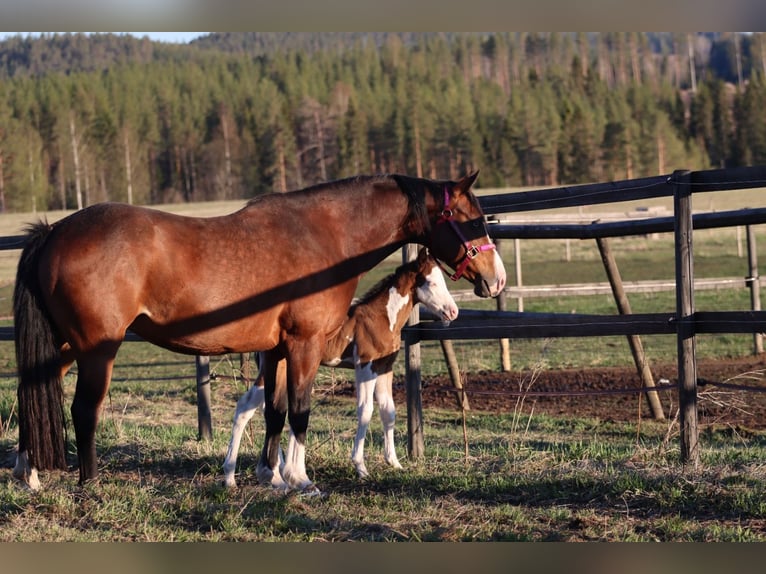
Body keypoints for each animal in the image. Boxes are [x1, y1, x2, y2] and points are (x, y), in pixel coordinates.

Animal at [222, 247, 458, 488]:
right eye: (431, 282)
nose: (453, 311)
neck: (381, 317)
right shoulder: (365, 365)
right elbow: (365, 410)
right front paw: (360, 467)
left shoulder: (385, 367)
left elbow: (388, 411)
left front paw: (394, 462)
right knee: (249, 406)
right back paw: (244, 475)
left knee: (254, 406)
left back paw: (247, 475)